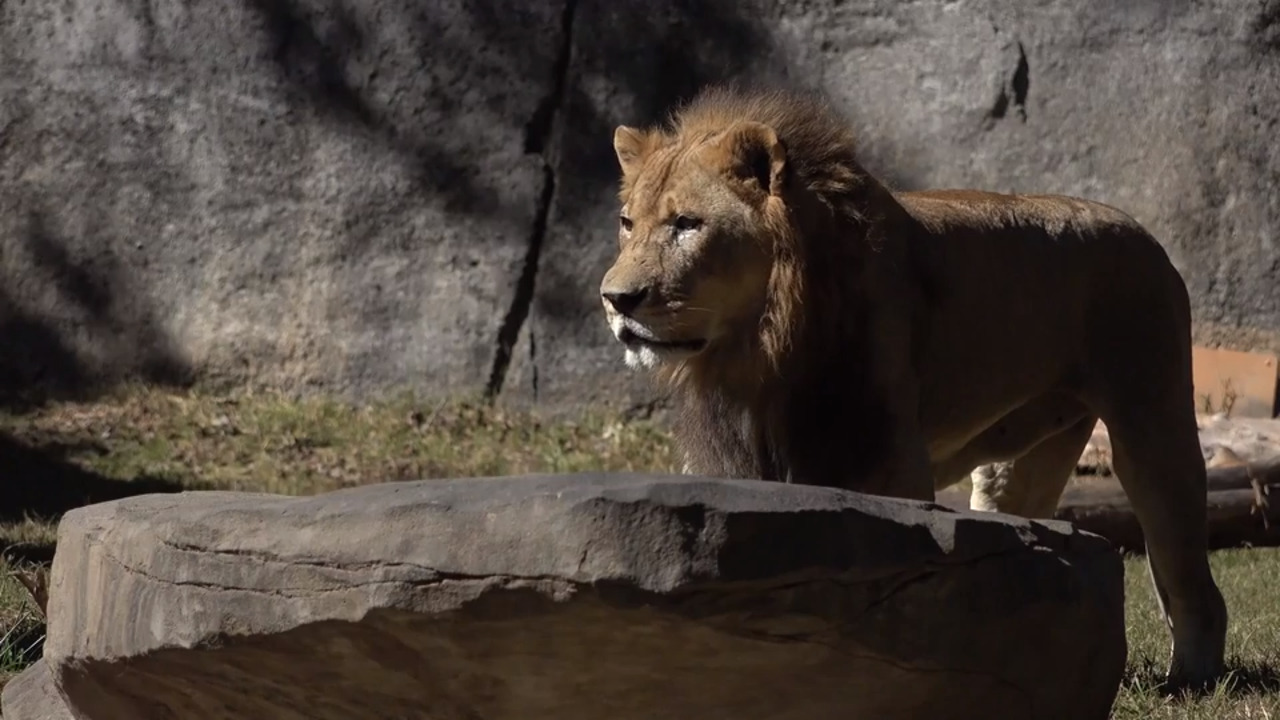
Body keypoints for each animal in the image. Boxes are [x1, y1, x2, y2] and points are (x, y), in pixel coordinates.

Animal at [598, 85, 1227, 690]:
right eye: (628, 223)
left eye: (687, 224)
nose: (615, 299)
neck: (760, 351)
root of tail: (1143, 233)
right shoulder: (737, 463)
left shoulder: (888, 461)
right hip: (1022, 462)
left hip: (1153, 423)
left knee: (1191, 580)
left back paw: (1190, 680)